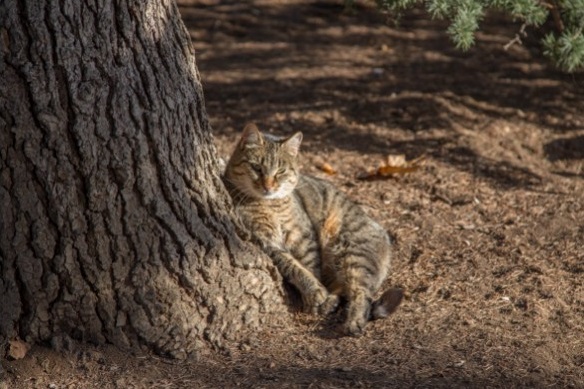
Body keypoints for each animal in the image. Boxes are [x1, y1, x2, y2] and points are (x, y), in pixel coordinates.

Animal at [224, 123, 402, 334]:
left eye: (280, 171)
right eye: (256, 168)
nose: (268, 186)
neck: (270, 205)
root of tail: (384, 236)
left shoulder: (302, 235)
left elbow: (309, 265)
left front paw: (315, 297)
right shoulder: (267, 241)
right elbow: (294, 267)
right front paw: (315, 293)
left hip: (352, 251)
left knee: (360, 292)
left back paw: (353, 321)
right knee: (344, 289)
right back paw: (333, 302)